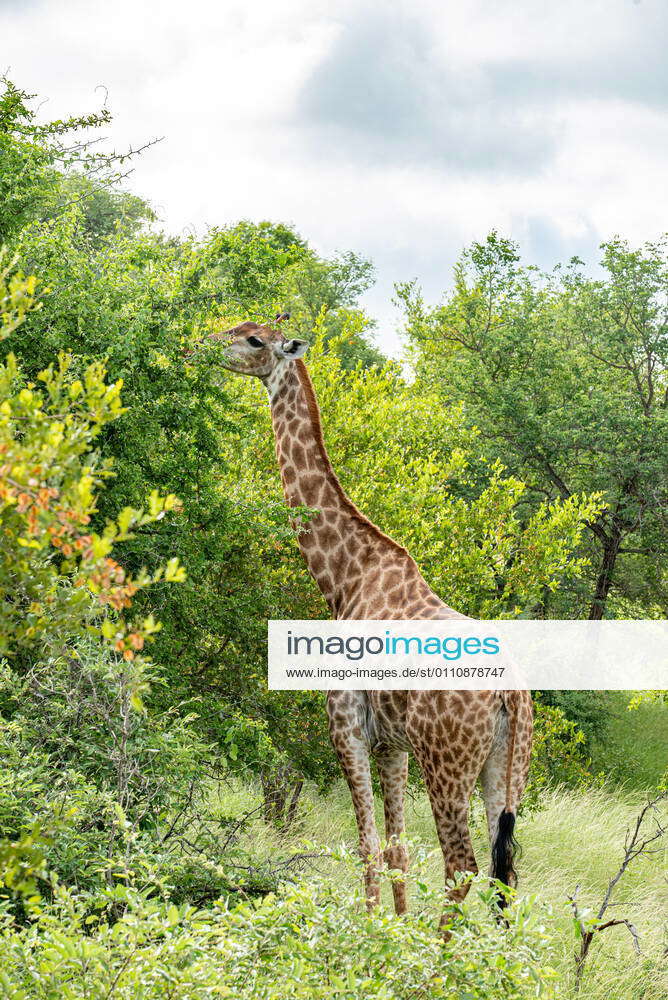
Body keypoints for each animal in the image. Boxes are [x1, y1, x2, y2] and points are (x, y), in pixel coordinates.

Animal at [201, 318, 536, 920]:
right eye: (239, 328)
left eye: (255, 340)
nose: (204, 344)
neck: (345, 580)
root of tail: (512, 694)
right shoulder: (391, 745)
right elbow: (398, 848)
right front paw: (394, 930)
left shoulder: (346, 726)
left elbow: (366, 845)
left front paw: (373, 932)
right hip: (507, 766)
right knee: (505, 875)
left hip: (446, 762)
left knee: (462, 864)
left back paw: (438, 951)